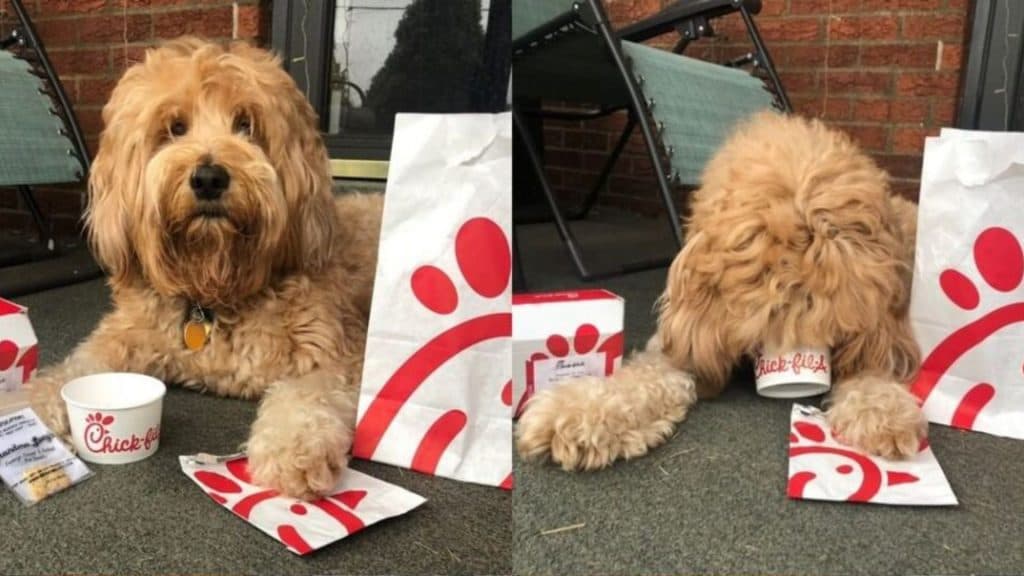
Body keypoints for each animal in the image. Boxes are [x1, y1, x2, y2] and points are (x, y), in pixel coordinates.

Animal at [33, 38, 385, 500]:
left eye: (246, 124)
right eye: (175, 127)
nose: (209, 178)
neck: (213, 289)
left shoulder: (335, 352)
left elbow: (310, 396)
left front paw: (293, 449)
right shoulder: (121, 338)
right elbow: (71, 370)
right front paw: (29, 406)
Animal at [516, 109, 925, 469]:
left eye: (827, 322)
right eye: (770, 314)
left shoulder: (880, 335)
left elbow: (873, 372)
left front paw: (884, 412)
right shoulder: (686, 338)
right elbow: (646, 377)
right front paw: (578, 413)